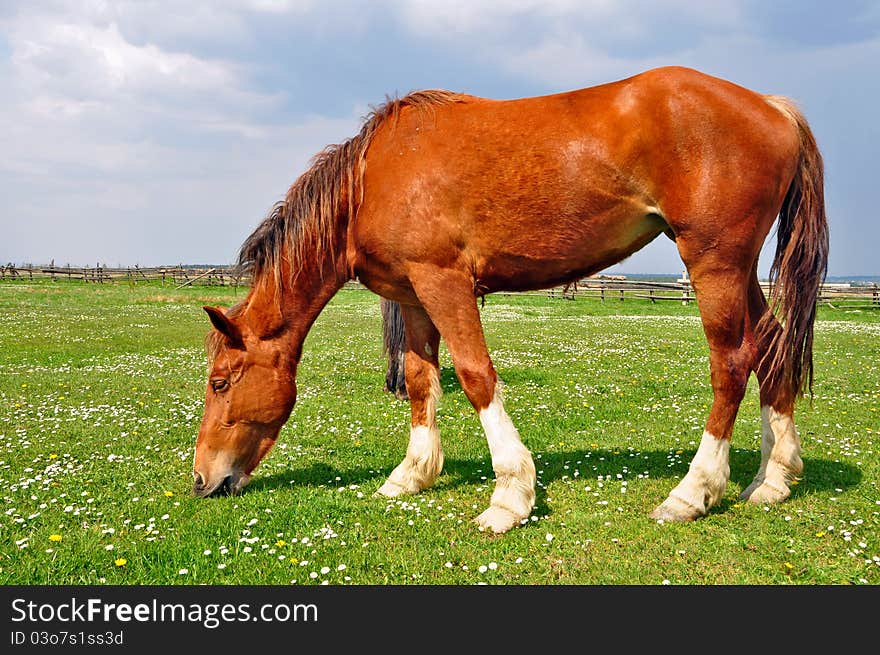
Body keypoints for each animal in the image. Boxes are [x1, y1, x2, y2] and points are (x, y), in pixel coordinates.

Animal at [192, 69, 824, 536]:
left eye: (221, 382)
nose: (200, 479)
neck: (372, 177)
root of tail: (772, 107)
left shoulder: (444, 282)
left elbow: (476, 376)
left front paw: (509, 495)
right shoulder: (413, 297)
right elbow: (420, 382)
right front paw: (411, 475)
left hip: (715, 263)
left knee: (732, 364)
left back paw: (693, 491)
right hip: (736, 270)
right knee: (771, 347)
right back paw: (772, 479)